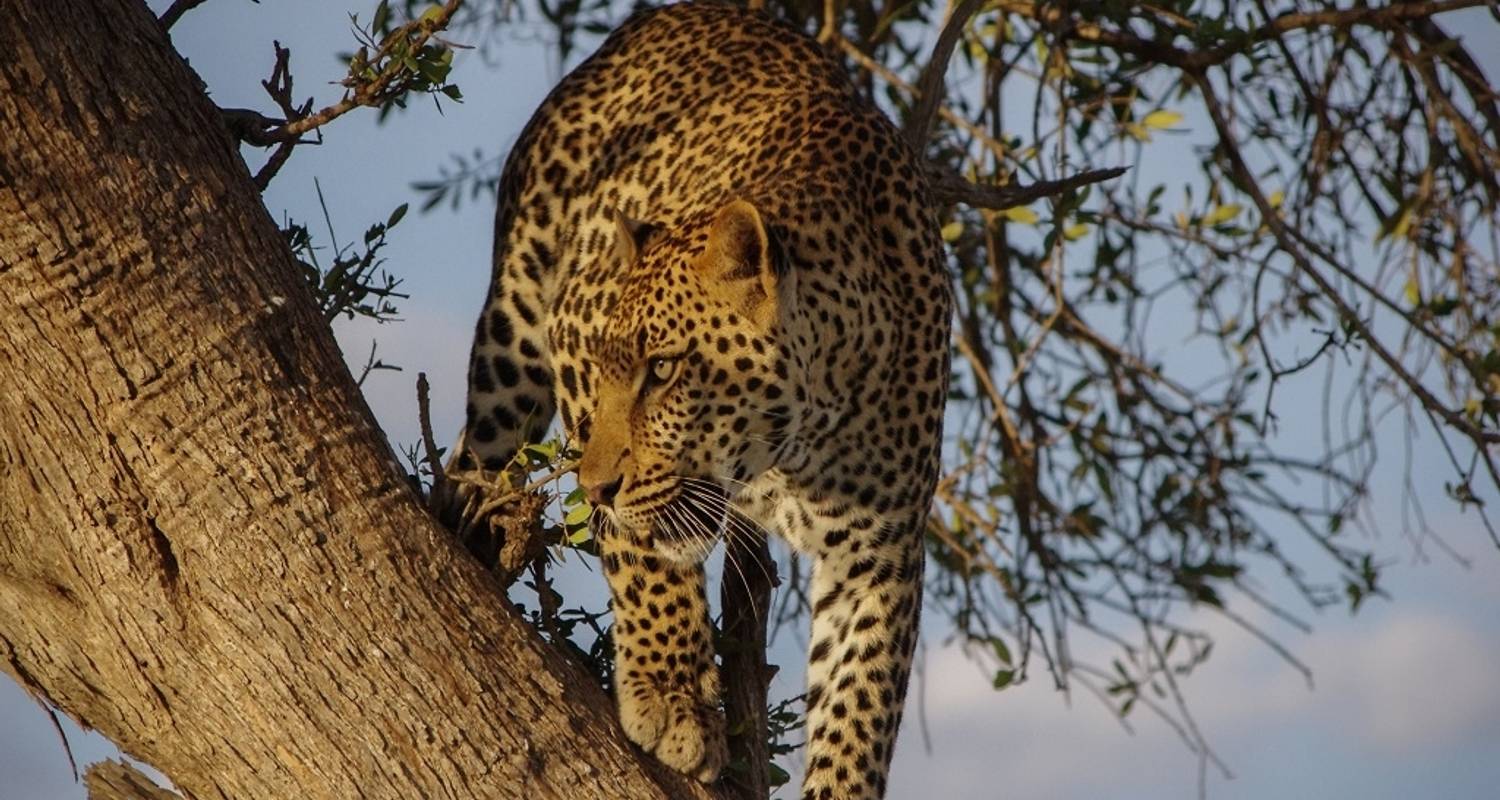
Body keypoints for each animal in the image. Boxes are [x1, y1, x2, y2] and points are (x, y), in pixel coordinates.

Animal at [453, 3, 948, 792]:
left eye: (662, 370)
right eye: (612, 368)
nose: (596, 484)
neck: (799, 443)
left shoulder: (882, 551)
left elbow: (859, 706)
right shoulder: (573, 329)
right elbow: (641, 553)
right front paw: (672, 696)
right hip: (515, 331)